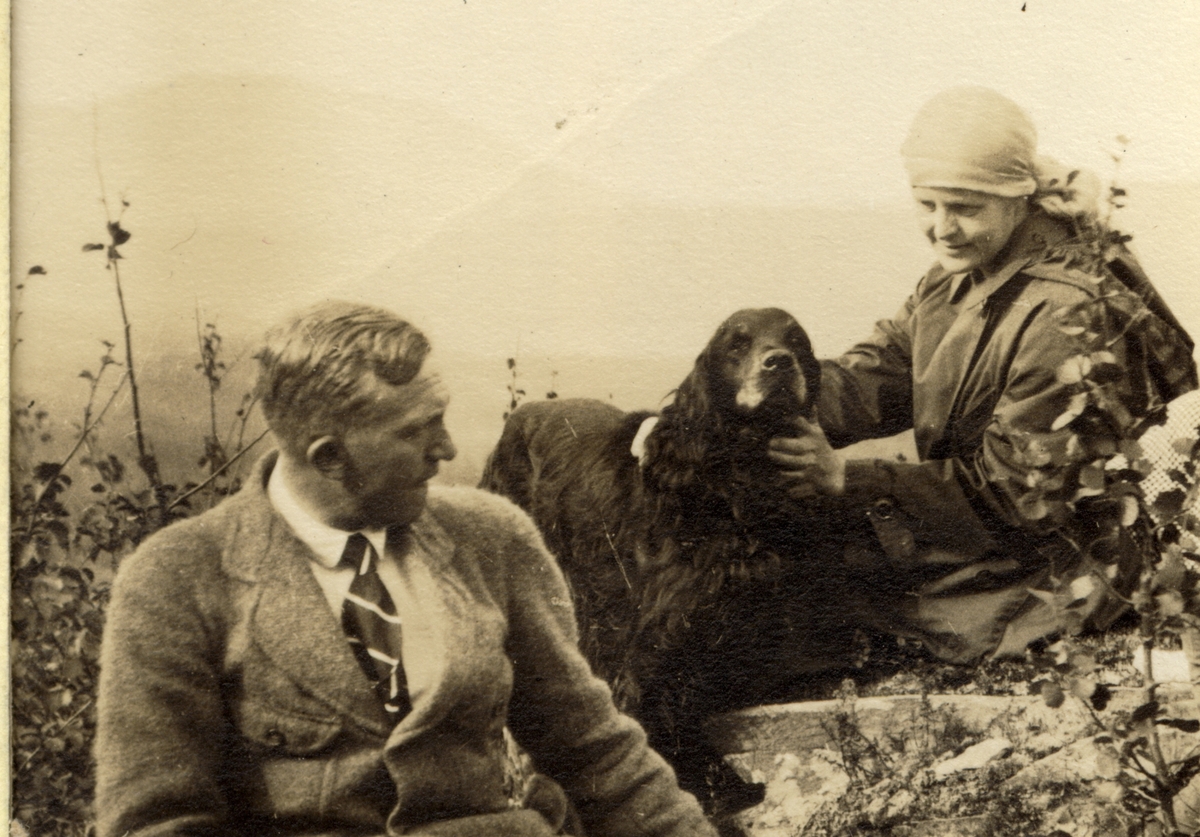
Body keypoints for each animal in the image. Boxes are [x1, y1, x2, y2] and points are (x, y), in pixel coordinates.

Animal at [480, 306, 854, 815]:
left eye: (796, 339)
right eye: (737, 344)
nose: (778, 363)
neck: (733, 482)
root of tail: (514, 422)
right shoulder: (658, 630)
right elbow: (666, 709)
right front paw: (712, 785)